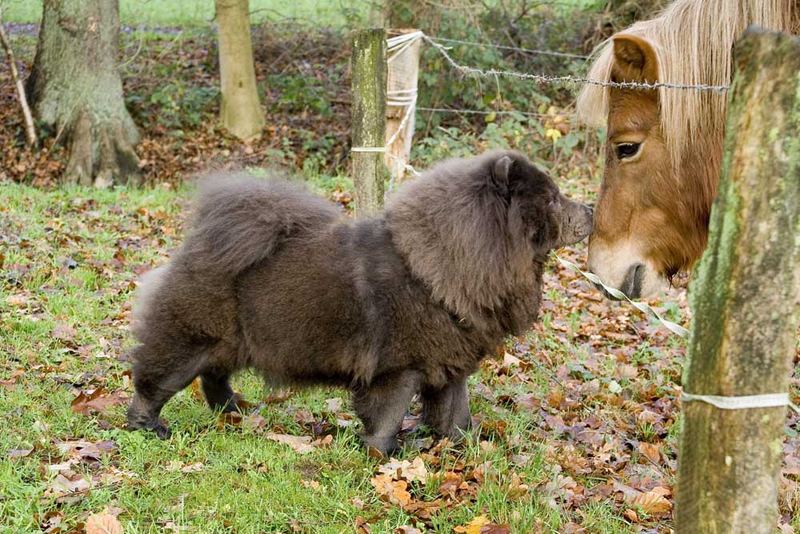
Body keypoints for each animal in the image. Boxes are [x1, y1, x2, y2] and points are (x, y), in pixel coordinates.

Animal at [123, 151, 588, 456]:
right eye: (551, 199)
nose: (588, 210)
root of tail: (198, 242)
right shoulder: (398, 368)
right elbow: (387, 414)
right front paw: (383, 454)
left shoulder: (448, 364)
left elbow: (454, 409)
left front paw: (463, 445)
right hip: (189, 336)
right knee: (156, 383)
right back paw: (151, 428)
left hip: (232, 340)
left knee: (214, 376)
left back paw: (234, 409)